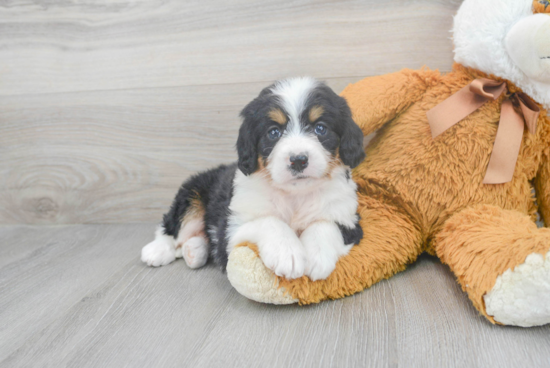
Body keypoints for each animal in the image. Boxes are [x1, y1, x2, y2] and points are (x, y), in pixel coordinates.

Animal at [142, 76, 366, 280]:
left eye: (320, 128)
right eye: (273, 132)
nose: (298, 160)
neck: (295, 196)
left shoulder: (349, 219)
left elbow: (325, 224)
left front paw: (316, 256)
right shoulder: (231, 228)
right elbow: (269, 221)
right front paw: (288, 253)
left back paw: (194, 251)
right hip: (191, 195)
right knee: (172, 227)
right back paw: (156, 250)